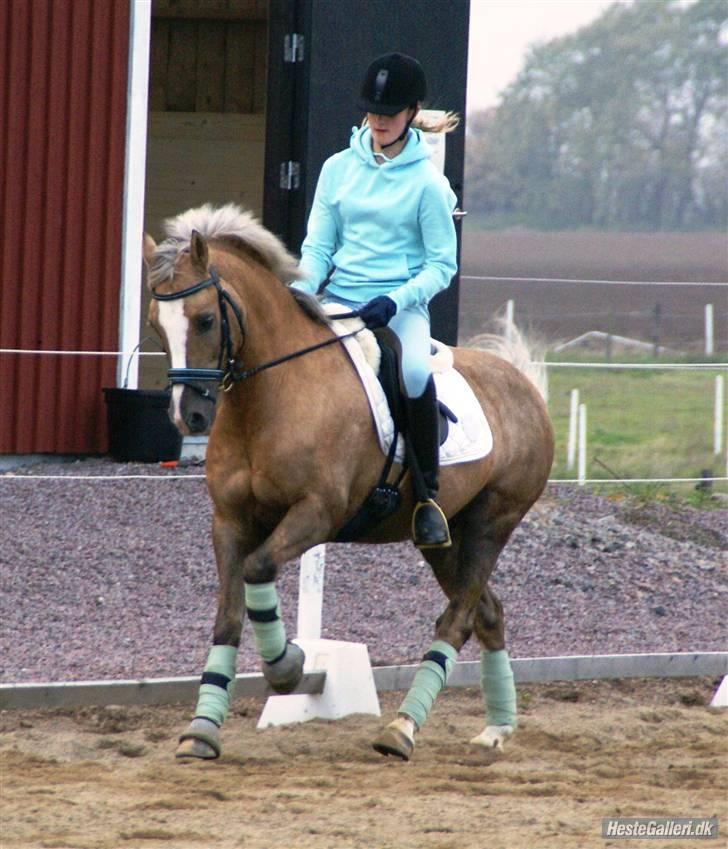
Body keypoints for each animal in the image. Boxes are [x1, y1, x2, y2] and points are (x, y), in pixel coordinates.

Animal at [144, 204, 552, 760]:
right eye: (155, 327)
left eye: (205, 320)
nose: (187, 416)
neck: (267, 399)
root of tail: (523, 385)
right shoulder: (229, 520)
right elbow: (228, 616)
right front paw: (202, 729)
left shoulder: (317, 513)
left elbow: (257, 568)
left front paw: (288, 666)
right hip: (445, 538)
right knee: (488, 612)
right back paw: (496, 729)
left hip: (491, 523)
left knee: (459, 619)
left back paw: (401, 730)